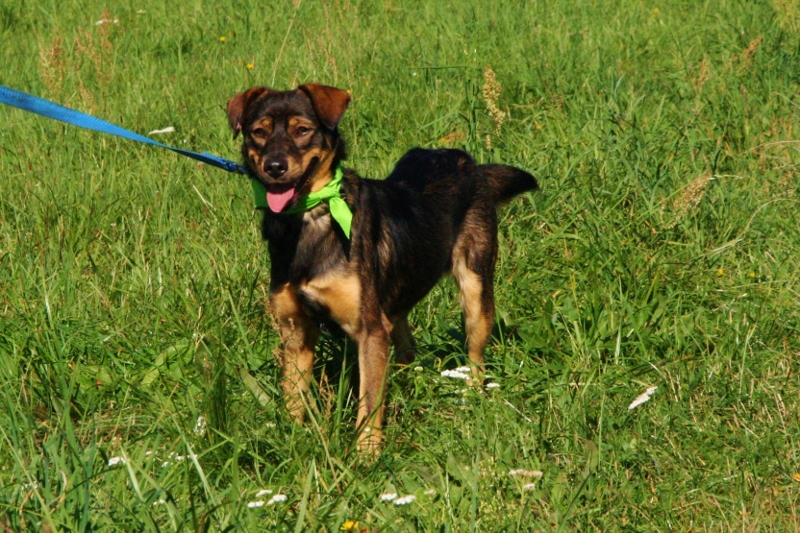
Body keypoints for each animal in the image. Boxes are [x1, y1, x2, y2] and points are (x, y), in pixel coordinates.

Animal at [226, 83, 538, 451]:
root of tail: (467, 161)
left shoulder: (369, 330)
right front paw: (293, 444)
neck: (309, 221)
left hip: (476, 293)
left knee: (475, 358)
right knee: (406, 346)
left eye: (302, 130)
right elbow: (293, 399)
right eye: (258, 132)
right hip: (395, 301)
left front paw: (366, 455)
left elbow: (369, 402)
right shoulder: (296, 331)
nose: (274, 166)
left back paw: (472, 399)